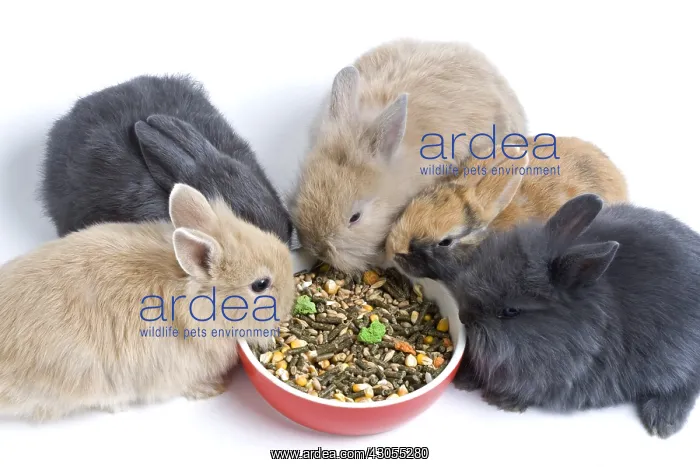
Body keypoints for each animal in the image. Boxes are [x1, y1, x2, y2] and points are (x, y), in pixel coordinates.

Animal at [394, 194, 700, 439]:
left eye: (511, 311)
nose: (465, 316)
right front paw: (466, 379)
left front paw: (500, 400)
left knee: (686, 385)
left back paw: (662, 422)